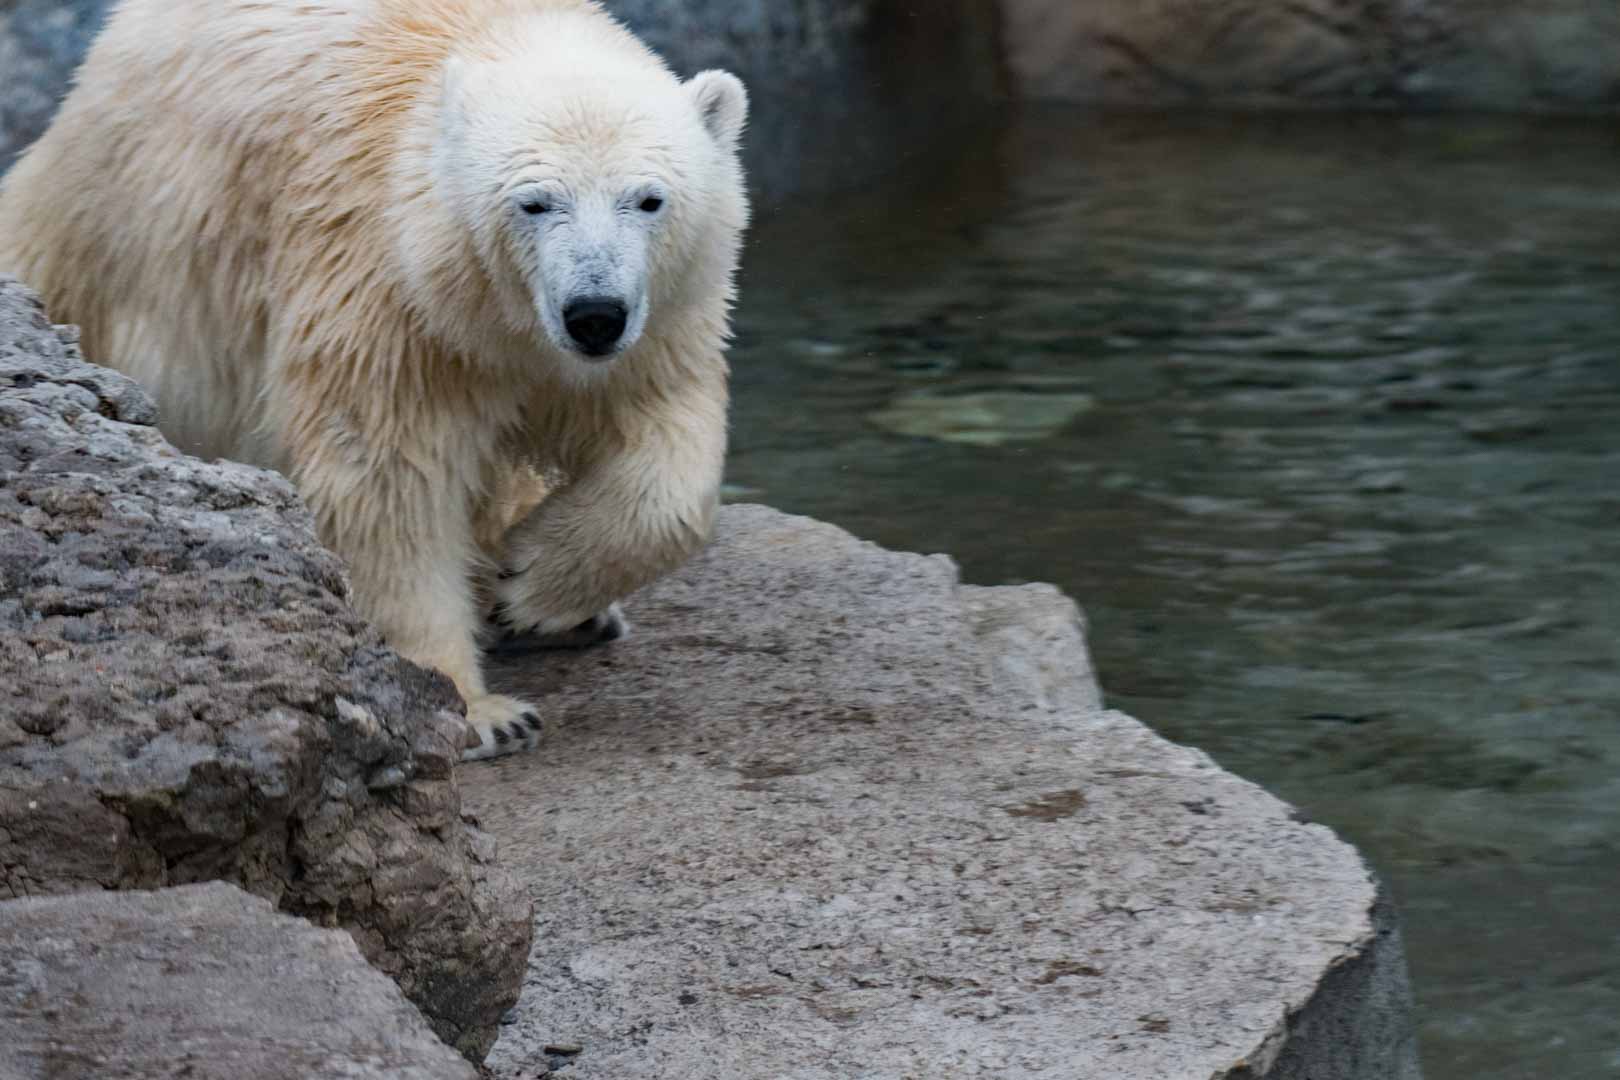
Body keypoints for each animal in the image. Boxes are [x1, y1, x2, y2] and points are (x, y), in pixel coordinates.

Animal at [0, 0, 749, 759]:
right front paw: (479, 709)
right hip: (109, 239)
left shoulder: (657, 318)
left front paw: (528, 583)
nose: (594, 314)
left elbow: (665, 447)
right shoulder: (387, 290)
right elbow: (386, 474)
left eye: (649, 200)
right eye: (534, 202)